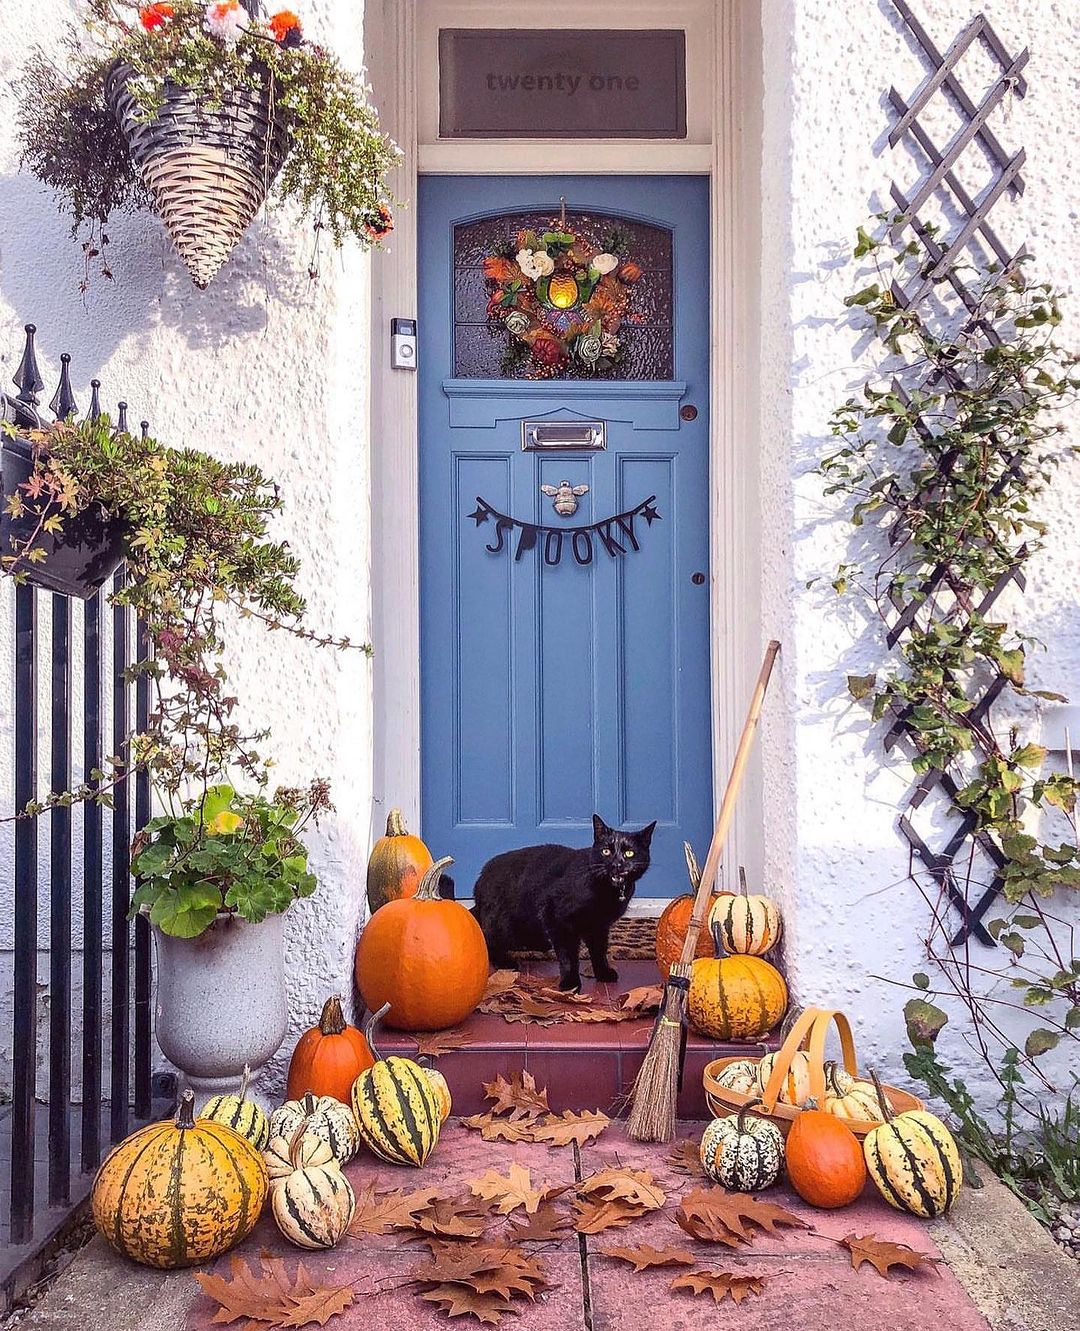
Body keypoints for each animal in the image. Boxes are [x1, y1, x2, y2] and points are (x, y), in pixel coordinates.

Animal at [474, 814, 657, 995]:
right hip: (506, 922)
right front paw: (570, 984)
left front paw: (603, 973)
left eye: (629, 853)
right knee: (488, 938)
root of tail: (481, 879)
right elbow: (568, 956)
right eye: (606, 851)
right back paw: (505, 962)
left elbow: (599, 951)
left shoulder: (599, 926)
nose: (617, 864)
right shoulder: (557, 919)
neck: (607, 889)